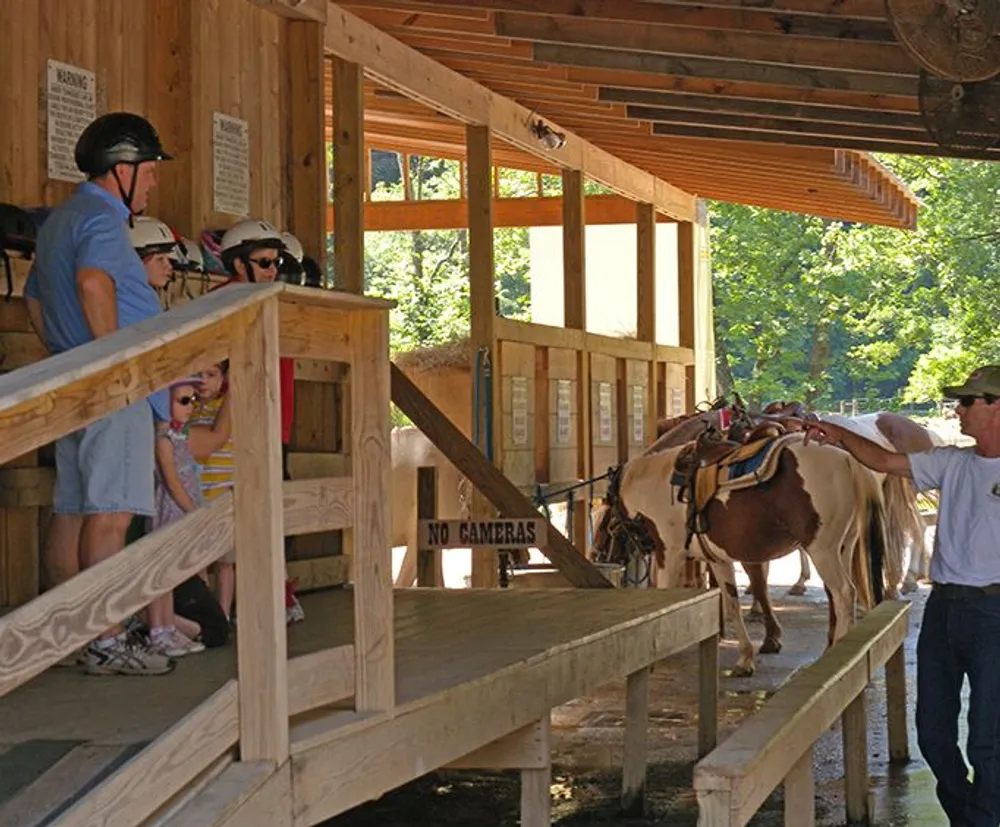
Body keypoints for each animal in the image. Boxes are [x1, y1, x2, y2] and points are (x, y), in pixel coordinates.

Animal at [588, 436, 888, 676]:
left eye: (603, 522)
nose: (598, 555)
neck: (657, 485)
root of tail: (848, 459)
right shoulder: (718, 560)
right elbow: (732, 605)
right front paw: (745, 659)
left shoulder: (669, 554)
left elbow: (664, 598)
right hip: (843, 547)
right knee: (840, 595)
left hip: (822, 550)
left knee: (844, 593)